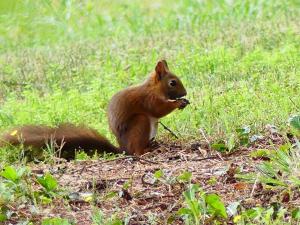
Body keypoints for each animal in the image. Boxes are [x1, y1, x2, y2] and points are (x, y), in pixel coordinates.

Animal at [0, 59, 189, 158]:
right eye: (173, 83)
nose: (185, 93)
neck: (153, 88)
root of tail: (123, 149)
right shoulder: (147, 99)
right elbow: (157, 109)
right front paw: (178, 103)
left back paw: (154, 144)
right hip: (140, 123)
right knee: (136, 151)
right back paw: (147, 150)